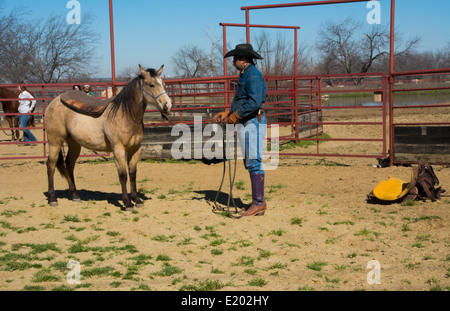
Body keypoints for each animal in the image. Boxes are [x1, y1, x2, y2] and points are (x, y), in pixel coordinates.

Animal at [45, 64, 172, 211]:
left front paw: (137, 199)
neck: (125, 115)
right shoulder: (118, 149)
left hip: (74, 143)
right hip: (55, 141)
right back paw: (52, 199)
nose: (167, 105)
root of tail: (54, 101)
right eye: (151, 84)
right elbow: (123, 175)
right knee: (51, 165)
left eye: (163, 84)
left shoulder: (135, 149)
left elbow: (133, 174)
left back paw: (75, 195)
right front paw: (127, 203)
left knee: (69, 165)